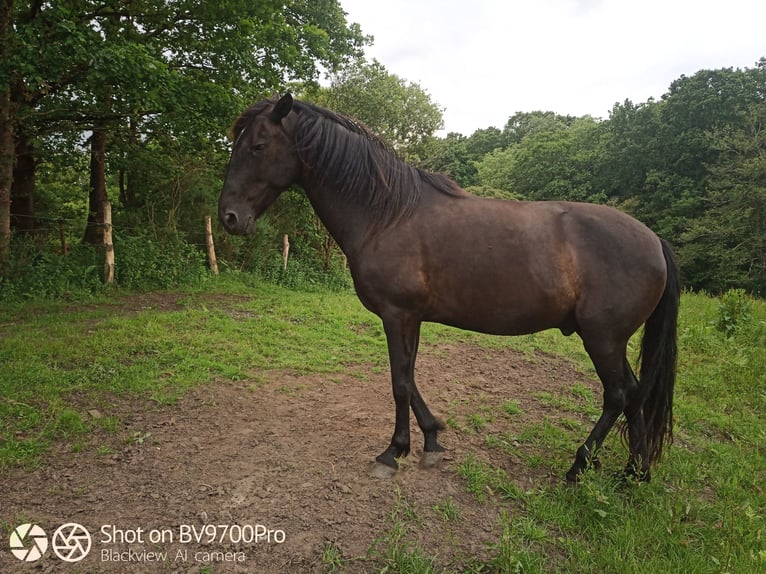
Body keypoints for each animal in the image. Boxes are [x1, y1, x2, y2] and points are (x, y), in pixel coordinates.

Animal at [219, 94, 680, 486]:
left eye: (258, 145)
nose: (229, 217)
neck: (386, 213)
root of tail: (654, 239)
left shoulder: (397, 314)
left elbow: (399, 382)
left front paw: (392, 453)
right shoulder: (411, 317)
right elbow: (410, 378)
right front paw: (432, 440)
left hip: (602, 338)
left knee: (618, 395)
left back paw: (578, 466)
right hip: (611, 341)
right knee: (635, 394)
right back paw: (635, 474)